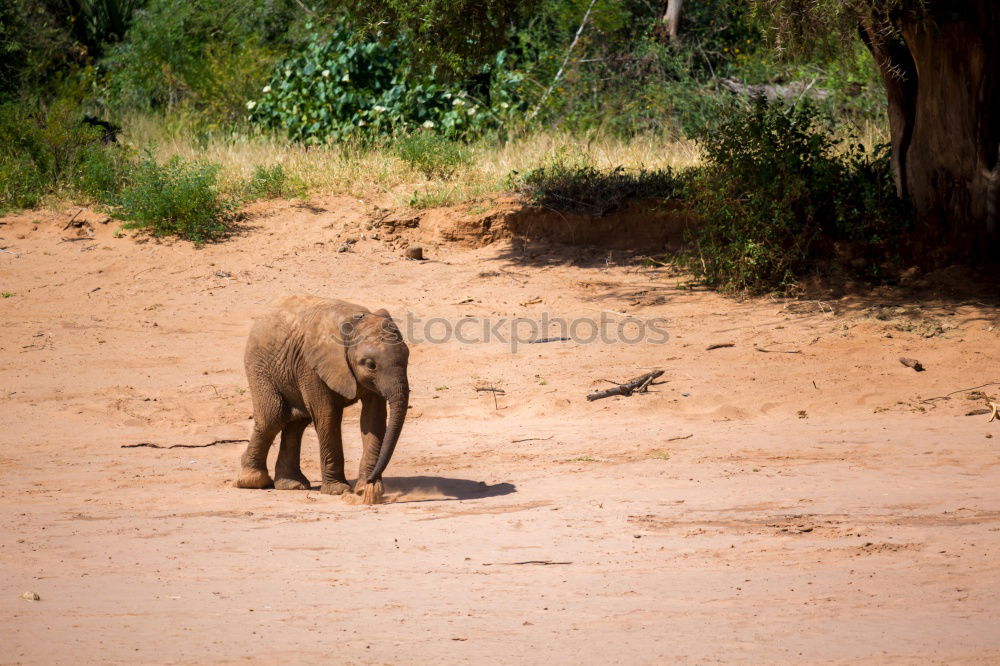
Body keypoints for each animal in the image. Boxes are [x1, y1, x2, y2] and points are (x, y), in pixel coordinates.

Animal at [236, 294, 408, 500]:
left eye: (407, 357)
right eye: (370, 365)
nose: (370, 481)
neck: (355, 320)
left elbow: (373, 419)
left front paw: (366, 490)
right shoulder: (311, 366)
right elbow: (328, 416)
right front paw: (339, 491)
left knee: (297, 422)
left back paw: (292, 485)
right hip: (260, 366)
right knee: (273, 417)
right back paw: (253, 481)